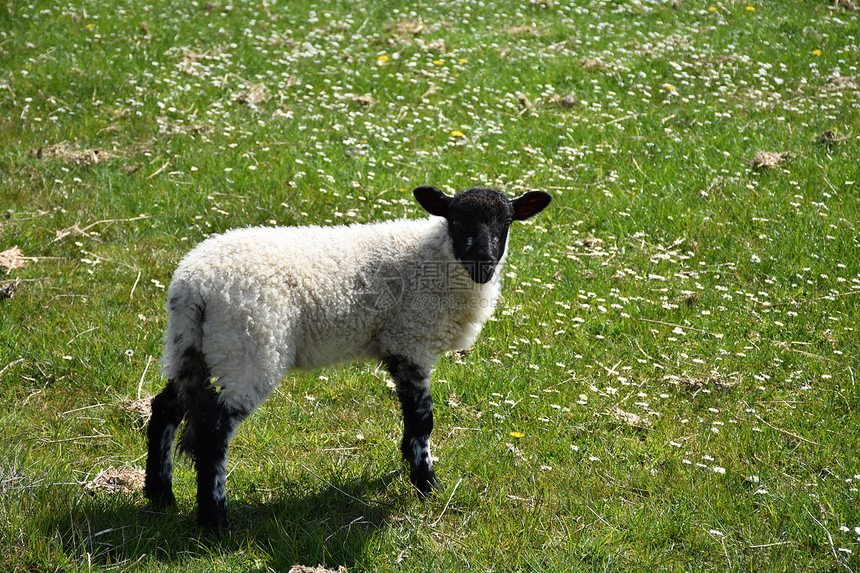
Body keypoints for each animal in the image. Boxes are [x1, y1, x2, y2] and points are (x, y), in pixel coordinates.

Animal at [144, 185, 552, 528]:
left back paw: (161, 496)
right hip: (249, 347)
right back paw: (216, 520)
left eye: (506, 222)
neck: (438, 261)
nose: (484, 262)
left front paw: (409, 465)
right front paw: (427, 483)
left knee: (165, 408)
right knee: (213, 430)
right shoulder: (410, 340)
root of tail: (193, 285)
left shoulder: (398, 345)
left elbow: (411, 419)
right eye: (455, 219)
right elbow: (422, 419)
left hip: (190, 346)